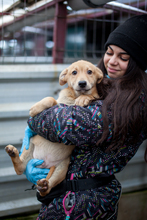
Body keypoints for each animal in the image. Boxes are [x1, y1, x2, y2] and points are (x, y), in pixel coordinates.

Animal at [5, 59, 103, 196]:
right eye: (74, 72)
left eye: (90, 71)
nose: (82, 83)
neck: (74, 96)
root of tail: (45, 164)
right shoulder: (57, 105)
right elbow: (50, 98)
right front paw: (35, 108)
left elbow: (93, 95)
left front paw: (84, 98)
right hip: (29, 145)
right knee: (20, 168)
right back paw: (13, 153)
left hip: (62, 168)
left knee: (46, 189)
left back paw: (44, 186)